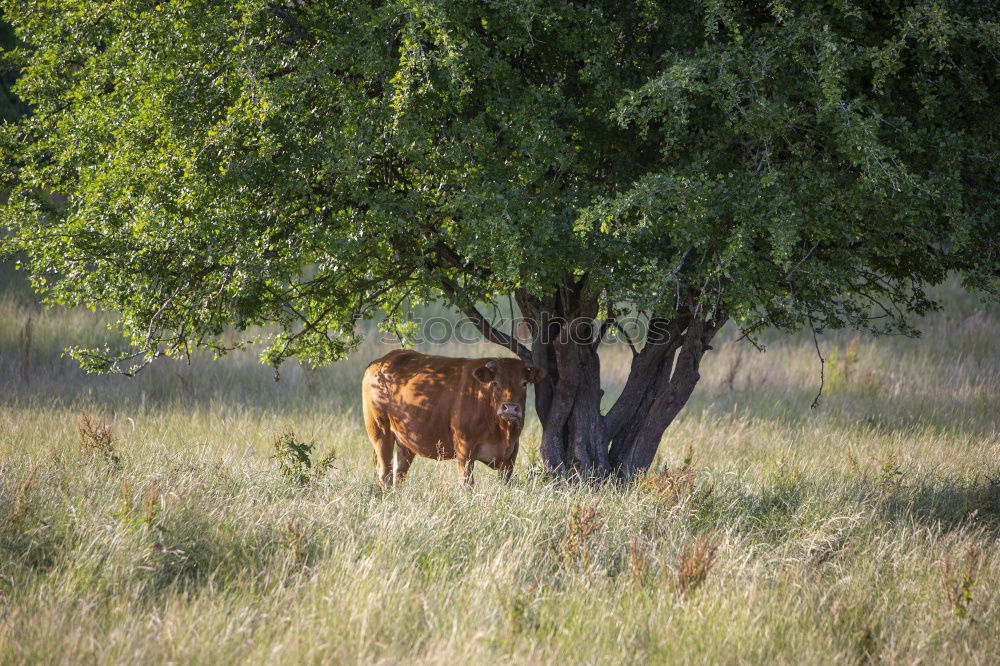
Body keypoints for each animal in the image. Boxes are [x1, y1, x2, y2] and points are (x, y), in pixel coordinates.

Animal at [362, 350, 548, 486]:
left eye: (524, 383)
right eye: (495, 383)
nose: (510, 408)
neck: (502, 431)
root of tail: (381, 361)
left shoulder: (510, 456)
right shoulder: (464, 451)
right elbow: (467, 485)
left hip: (404, 441)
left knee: (398, 473)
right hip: (380, 431)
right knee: (385, 474)